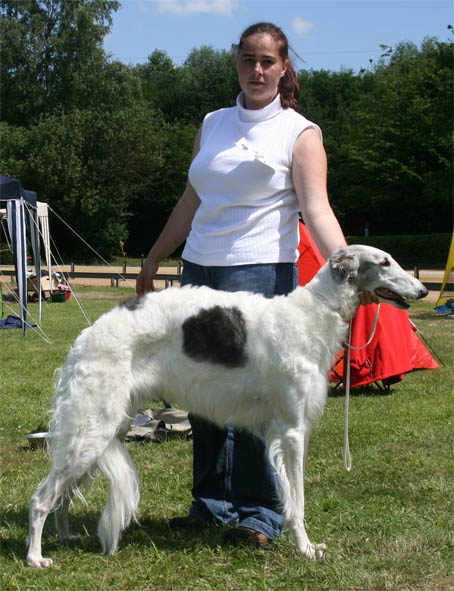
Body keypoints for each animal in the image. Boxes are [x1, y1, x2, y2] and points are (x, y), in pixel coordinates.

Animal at [26, 245, 427, 567]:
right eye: (385, 262)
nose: (422, 289)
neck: (312, 314)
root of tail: (86, 336)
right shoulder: (292, 431)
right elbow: (296, 502)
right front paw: (306, 548)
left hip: (102, 429)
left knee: (62, 496)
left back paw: (65, 537)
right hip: (94, 428)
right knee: (42, 497)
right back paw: (35, 556)